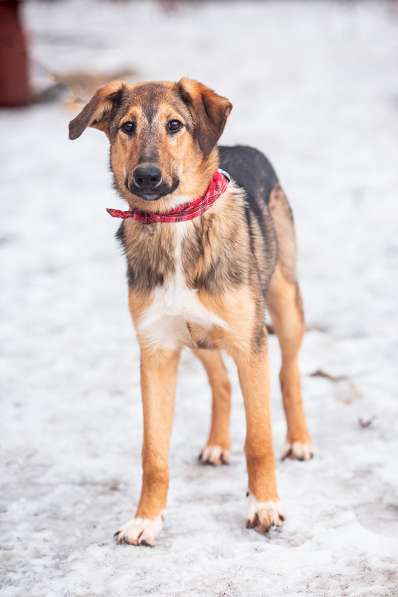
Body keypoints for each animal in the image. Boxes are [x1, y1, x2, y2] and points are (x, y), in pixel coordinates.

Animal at [68, 78, 312, 544]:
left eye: (174, 125)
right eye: (127, 127)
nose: (146, 176)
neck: (175, 223)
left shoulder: (250, 346)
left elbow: (259, 440)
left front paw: (264, 506)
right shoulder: (156, 349)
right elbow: (153, 453)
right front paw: (145, 520)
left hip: (284, 302)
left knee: (288, 373)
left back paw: (299, 441)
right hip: (196, 337)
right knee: (221, 382)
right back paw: (217, 444)